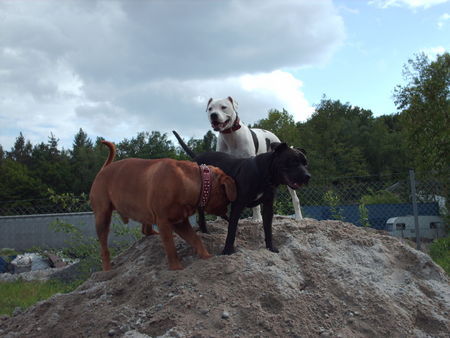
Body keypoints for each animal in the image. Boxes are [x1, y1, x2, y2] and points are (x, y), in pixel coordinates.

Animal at [90, 141, 237, 270]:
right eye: (226, 199)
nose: (227, 212)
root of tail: (103, 170)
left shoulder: (180, 222)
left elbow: (195, 239)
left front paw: (206, 256)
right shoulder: (164, 222)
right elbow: (171, 248)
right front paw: (176, 268)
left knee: (146, 230)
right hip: (102, 218)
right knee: (104, 249)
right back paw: (107, 269)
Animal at [171, 131, 310, 255]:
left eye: (305, 163)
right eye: (293, 162)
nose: (308, 176)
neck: (265, 173)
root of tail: (197, 158)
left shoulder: (268, 207)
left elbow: (268, 229)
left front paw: (270, 247)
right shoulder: (238, 205)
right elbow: (231, 230)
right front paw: (227, 251)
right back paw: (204, 230)